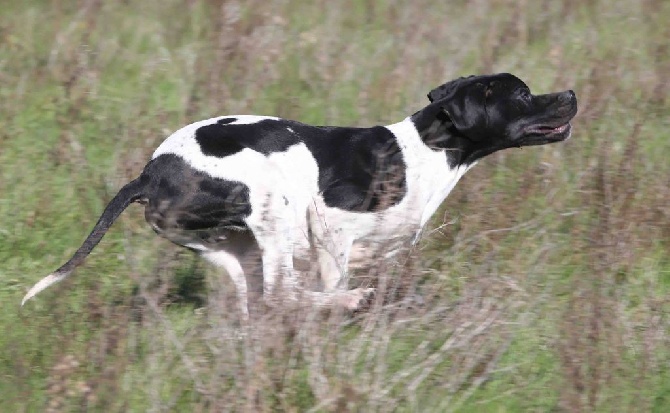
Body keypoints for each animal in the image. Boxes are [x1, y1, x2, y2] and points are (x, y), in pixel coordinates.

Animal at [21, 72, 576, 314]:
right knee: (283, 294)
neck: (422, 150)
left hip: (233, 250)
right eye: (524, 93)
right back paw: (348, 300)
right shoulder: (331, 224)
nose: (571, 94)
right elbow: (330, 278)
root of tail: (149, 173)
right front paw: (347, 302)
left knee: (261, 299)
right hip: (275, 208)